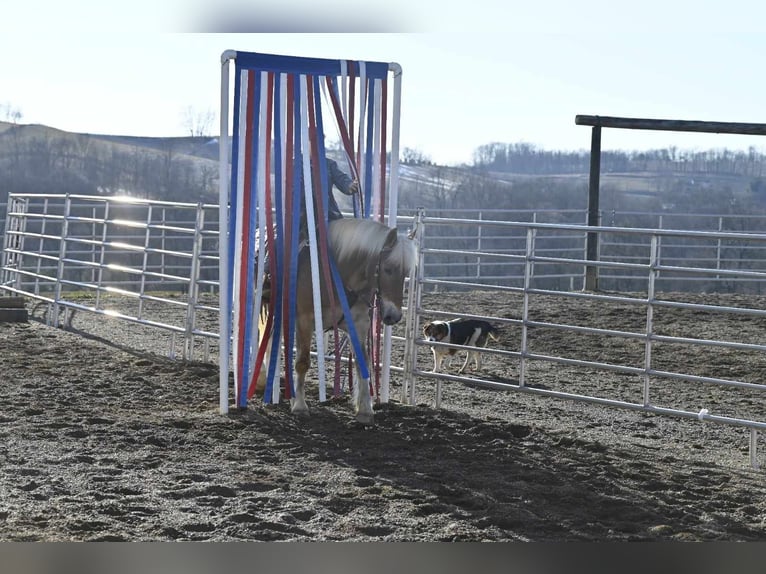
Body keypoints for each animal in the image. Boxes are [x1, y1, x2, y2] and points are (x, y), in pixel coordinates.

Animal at [255, 220, 416, 428]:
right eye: (388, 269)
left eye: (405, 272)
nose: (394, 316)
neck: (335, 273)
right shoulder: (304, 320)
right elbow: (302, 362)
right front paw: (300, 405)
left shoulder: (358, 324)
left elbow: (363, 363)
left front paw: (365, 410)